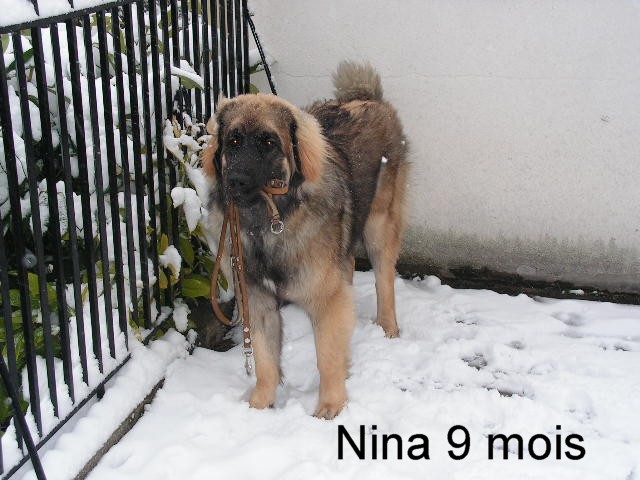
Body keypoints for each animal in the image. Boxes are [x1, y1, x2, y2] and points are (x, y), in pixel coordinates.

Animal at [202, 61, 408, 419]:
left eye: (269, 142)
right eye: (233, 140)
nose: (234, 181)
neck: (267, 221)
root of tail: (367, 98)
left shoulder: (326, 299)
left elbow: (326, 356)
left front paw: (330, 406)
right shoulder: (256, 298)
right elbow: (265, 359)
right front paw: (260, 406)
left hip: (379, 226)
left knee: (384, 281)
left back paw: (388, 329)